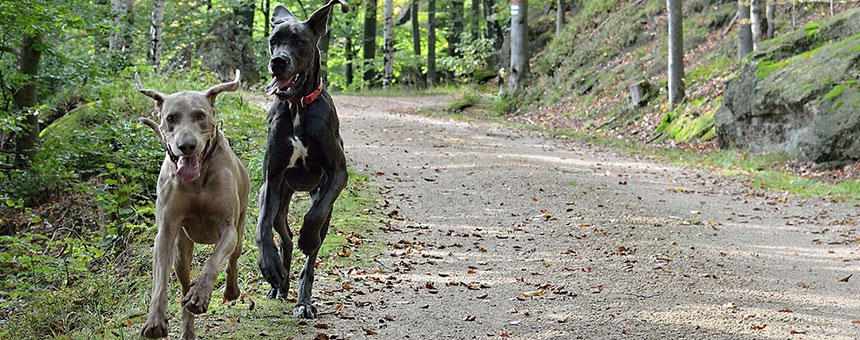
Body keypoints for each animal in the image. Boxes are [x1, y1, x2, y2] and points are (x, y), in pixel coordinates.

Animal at [135, 70, 249, 338]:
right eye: (171, 118)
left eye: (200, 115)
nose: (186, 145)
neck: (197, 179)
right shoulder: (166, 232)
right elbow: (160, 281)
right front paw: (155, 320)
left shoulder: (228, 228)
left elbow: (213, 261)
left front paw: (200, 296)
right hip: (181, 248)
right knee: (183, 282)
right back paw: (187, 327)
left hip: (240, 230)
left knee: (233, 259)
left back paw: (230, 290)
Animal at [255, 0, 350, 318]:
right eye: (273, 41)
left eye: (299, 42)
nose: (277, 62)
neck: (297, 107)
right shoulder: (271, 179)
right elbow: (261, 227)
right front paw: (269, 265)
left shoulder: (337, 173)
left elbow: (314, 216)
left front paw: (307, 237)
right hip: (280, 198)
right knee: (281, 233)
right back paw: (279, 282)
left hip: (324, 203)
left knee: (313, 248)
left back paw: (303, 301)